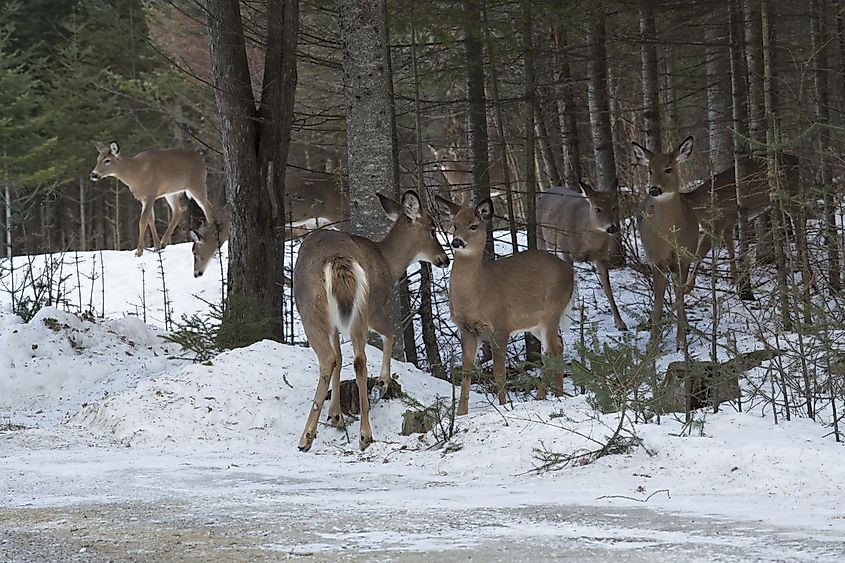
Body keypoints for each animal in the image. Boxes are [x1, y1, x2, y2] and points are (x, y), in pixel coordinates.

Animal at [294, 192, 448, 452]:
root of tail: (338, 259)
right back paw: (352, 435)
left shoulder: (364, 312)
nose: (444, 259)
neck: (388, 263)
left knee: (337, 358)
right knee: (351, 359)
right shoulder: (367, 310)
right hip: (356, 309)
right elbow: (375, 340)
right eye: (432, 228)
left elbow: (349, 354)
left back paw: (321, 436)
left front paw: (337, 414)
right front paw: (340, 412)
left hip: (323, 310)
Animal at [436, 196, 572, 416]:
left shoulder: (500, 325)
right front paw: (460, 413)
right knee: (558, 345)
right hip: (535, 323)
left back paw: (541, 396)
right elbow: (466, 371)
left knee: (551, 351)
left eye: (474, 226)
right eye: (455, 225)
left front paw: (504, 406)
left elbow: (499, 371)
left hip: (552, 310)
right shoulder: (467, 330)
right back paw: (558, 395)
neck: (478, 292)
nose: (457, 242)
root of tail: (570, 270)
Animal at [536, 178, 628, 330]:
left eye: (615, 207)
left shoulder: (601, 256)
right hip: (541, 237)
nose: (611, 228)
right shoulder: (566, 251)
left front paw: (620, 323)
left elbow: (607, 288)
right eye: (597, 209)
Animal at [632, 136, 700, 350]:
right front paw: (653, 343)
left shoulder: (683, 258)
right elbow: (658, 298)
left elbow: (678, 297)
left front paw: (681, 341)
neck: (669, 239)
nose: (654, 189)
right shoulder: (656, 260)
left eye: (668, 169)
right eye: (650, 170)